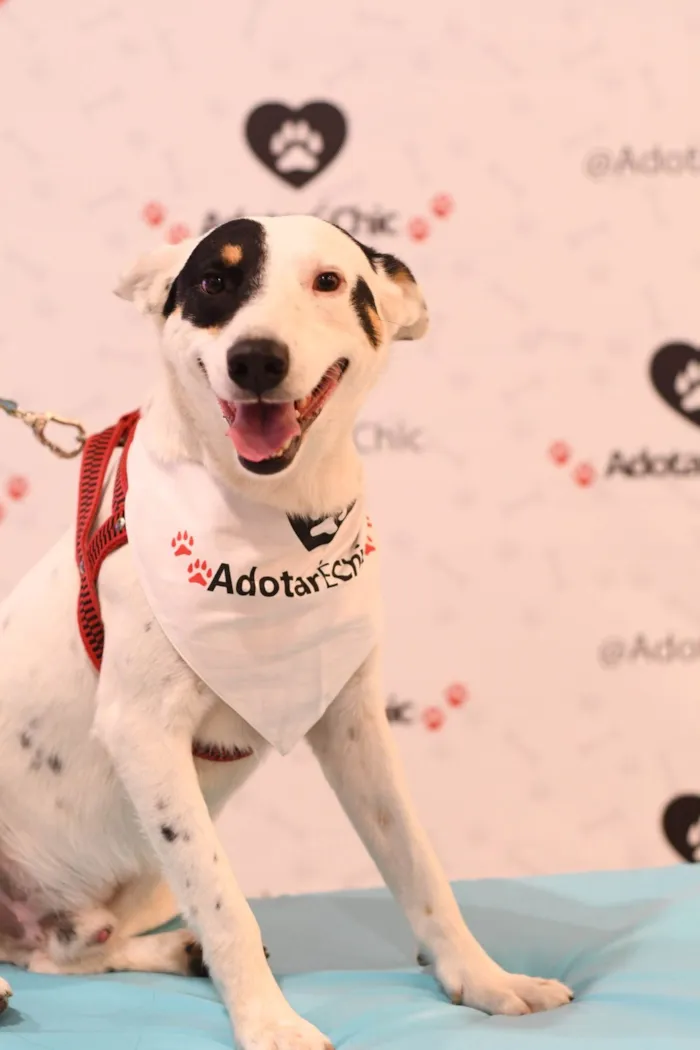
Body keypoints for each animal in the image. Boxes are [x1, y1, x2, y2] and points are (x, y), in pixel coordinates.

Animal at [0, 217, 570, 1045]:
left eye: (329, 281)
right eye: (214, 281)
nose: (256, 359)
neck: (275, 513)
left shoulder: (355, 726)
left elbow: (420, 865)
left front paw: (486, 979)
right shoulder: (143, 732)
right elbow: (225, 903)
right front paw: (270, 1022)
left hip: (136, 870)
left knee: (67, 950)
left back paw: (167, 950)